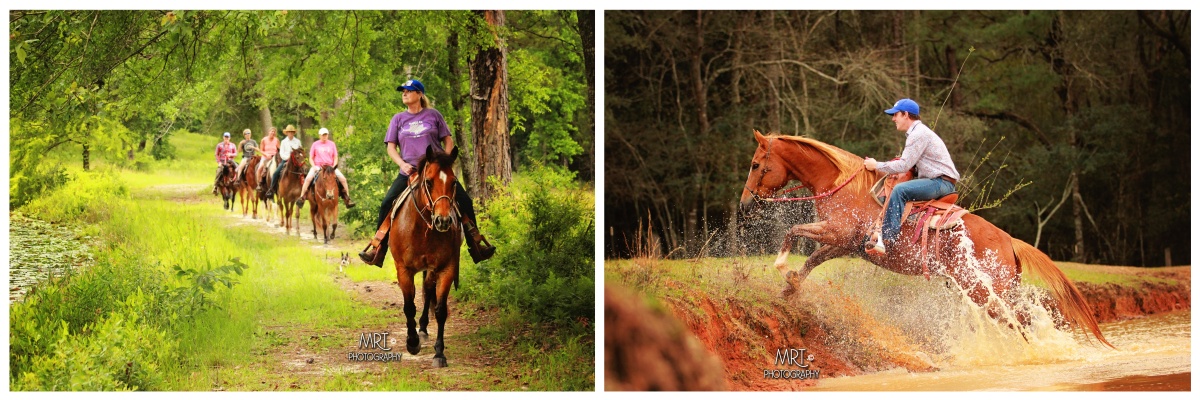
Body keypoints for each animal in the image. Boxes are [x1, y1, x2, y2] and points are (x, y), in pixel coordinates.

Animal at [393, 144, 468, 365]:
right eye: (428, 181)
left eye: (454, 182)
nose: (443, 221)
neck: (421, 229)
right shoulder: (403, 269)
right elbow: (409, 306)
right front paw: (412, 343)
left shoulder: (445, 268)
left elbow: (441, 310)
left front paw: (439, 353)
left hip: (432, 270)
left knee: (428, 290)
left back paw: (424, 329)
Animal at [739, 130, 1113, 345]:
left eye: (756, 164)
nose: (744, 204)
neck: (841, 185)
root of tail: (1009, 241)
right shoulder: (844, 244)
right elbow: (813, 259)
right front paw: (790, 288)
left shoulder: (838, 231)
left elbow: (792, 233)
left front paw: (781, 266)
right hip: (996, 289)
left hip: (984, 290)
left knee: (1017, 321)